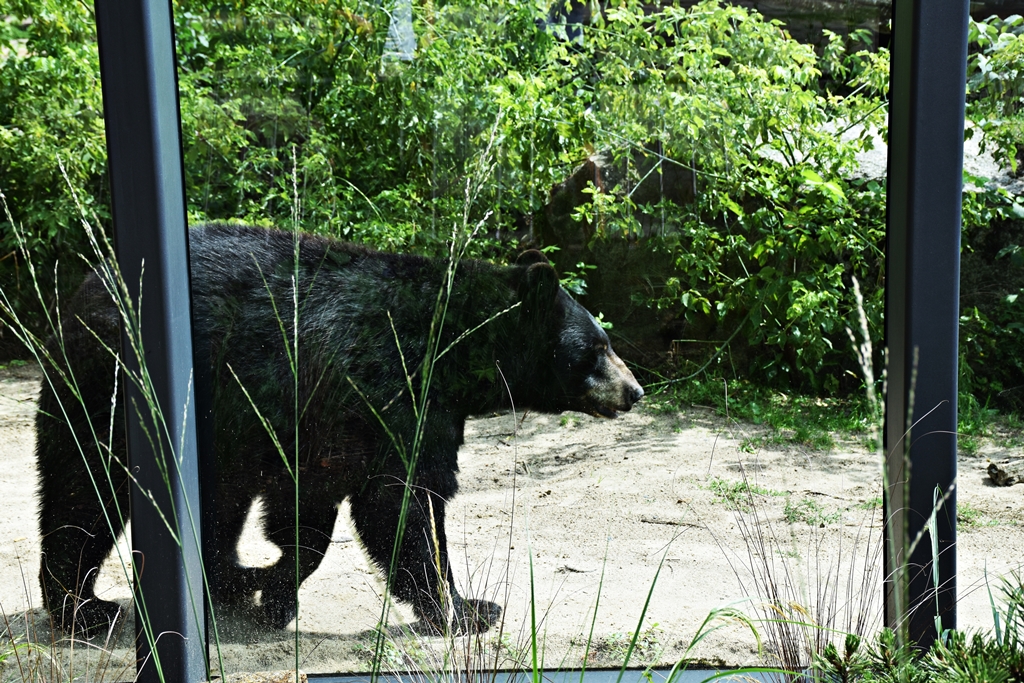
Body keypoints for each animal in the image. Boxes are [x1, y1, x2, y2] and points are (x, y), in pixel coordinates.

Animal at [36, 223, 644, 635]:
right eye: (597, 347)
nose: (635, 391)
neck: (452, 347)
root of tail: (91, 282)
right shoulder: (384, 392)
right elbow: (397, 504)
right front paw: (450, 611)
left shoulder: (362, 420)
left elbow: (329, 510)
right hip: (110, 387)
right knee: (84, 487)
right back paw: (83, 608)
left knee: (213, 503)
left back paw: (227, 580)